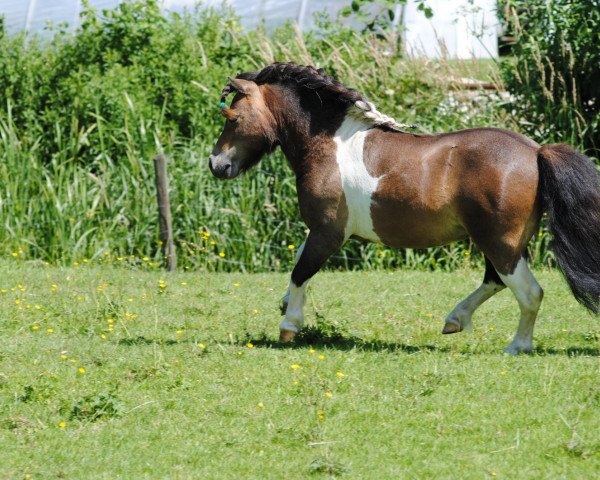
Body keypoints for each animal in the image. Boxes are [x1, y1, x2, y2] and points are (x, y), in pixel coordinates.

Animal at [207, 61, 600, 352]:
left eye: (233, 117)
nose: (216, 164)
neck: (330, 146)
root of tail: (536, 151)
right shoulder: (322, 230)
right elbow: (298, 261)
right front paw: (286, 305)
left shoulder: (329, 232)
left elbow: (301, 270)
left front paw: (289, 324)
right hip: (501, 241)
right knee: (496, 281)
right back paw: (455, 321)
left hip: (500, 241)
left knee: (528, 291)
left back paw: (517, 346)